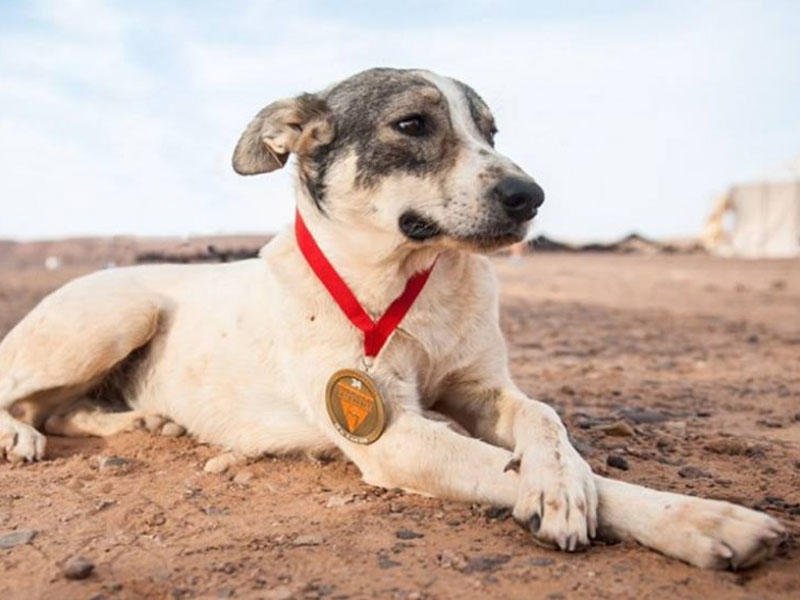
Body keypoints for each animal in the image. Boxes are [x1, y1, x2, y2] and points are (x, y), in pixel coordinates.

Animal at [0, 68, 784, 568]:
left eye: (491, 130)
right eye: (412, 124)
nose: (530, 196)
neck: (409, 280)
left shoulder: (483, 388)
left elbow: (545, 418)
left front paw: (560, 479)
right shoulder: (391, 434)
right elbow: (532, 470)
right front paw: (699, 518)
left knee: (65, 411)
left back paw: (141, 422)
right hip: (118, 313)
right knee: (23, 400)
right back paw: (21, 438)